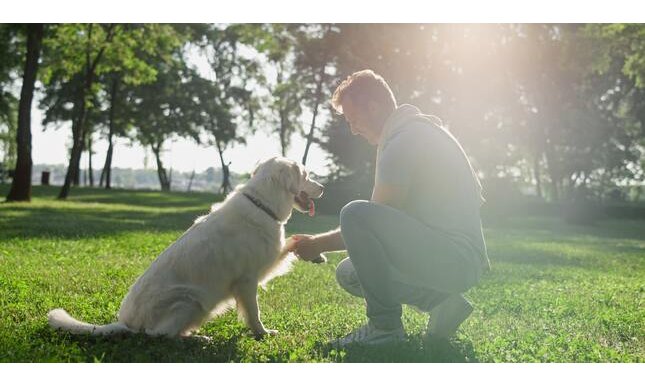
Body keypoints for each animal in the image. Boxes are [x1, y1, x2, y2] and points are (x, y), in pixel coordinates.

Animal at [46, 158, 322, 340]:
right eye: (307, 175)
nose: (323, 188)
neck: (262, 204)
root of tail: (126, 323)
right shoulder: (247, 280)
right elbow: (254, 313)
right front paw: (262, 332)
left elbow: (290, 244)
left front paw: (312, 247)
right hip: (189, 300)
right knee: (161, 335)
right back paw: (197, 339)